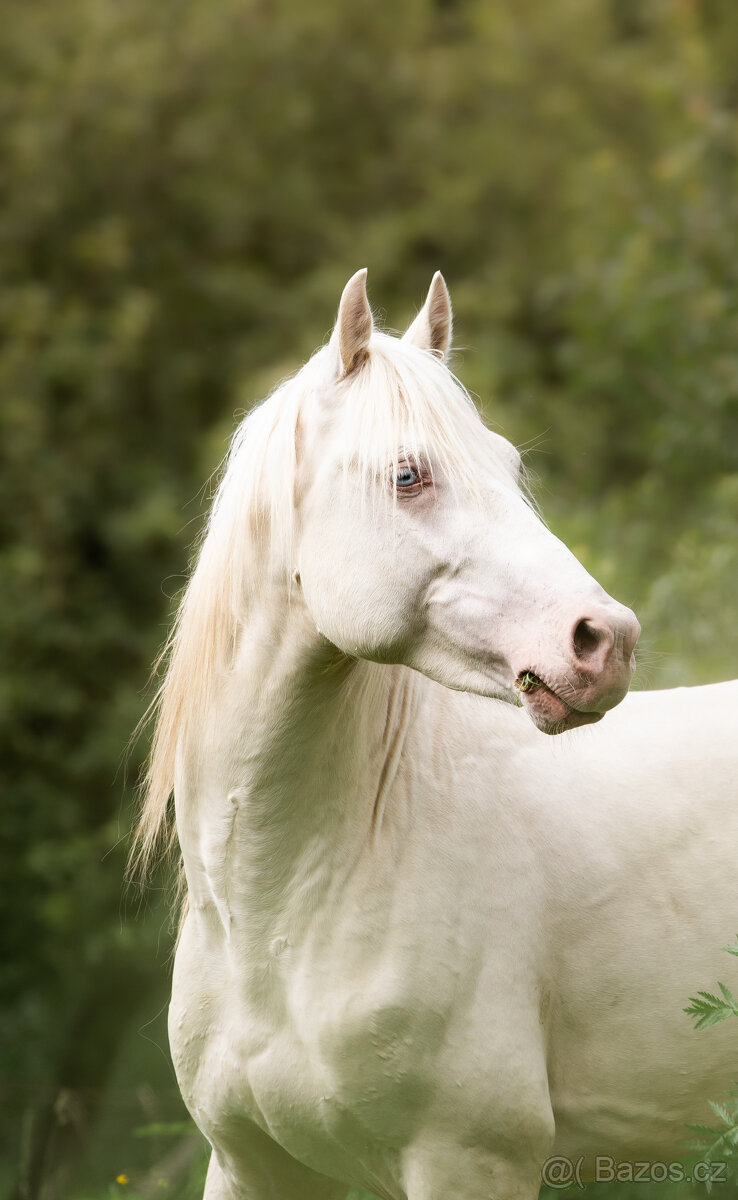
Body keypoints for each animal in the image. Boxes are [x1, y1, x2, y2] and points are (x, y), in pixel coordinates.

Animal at [135, 269, 738, 1200]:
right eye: (409, 475)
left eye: (511, 466)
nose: (606, 640)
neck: (279, 919)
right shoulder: (250, 1164)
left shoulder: (467, 1161)